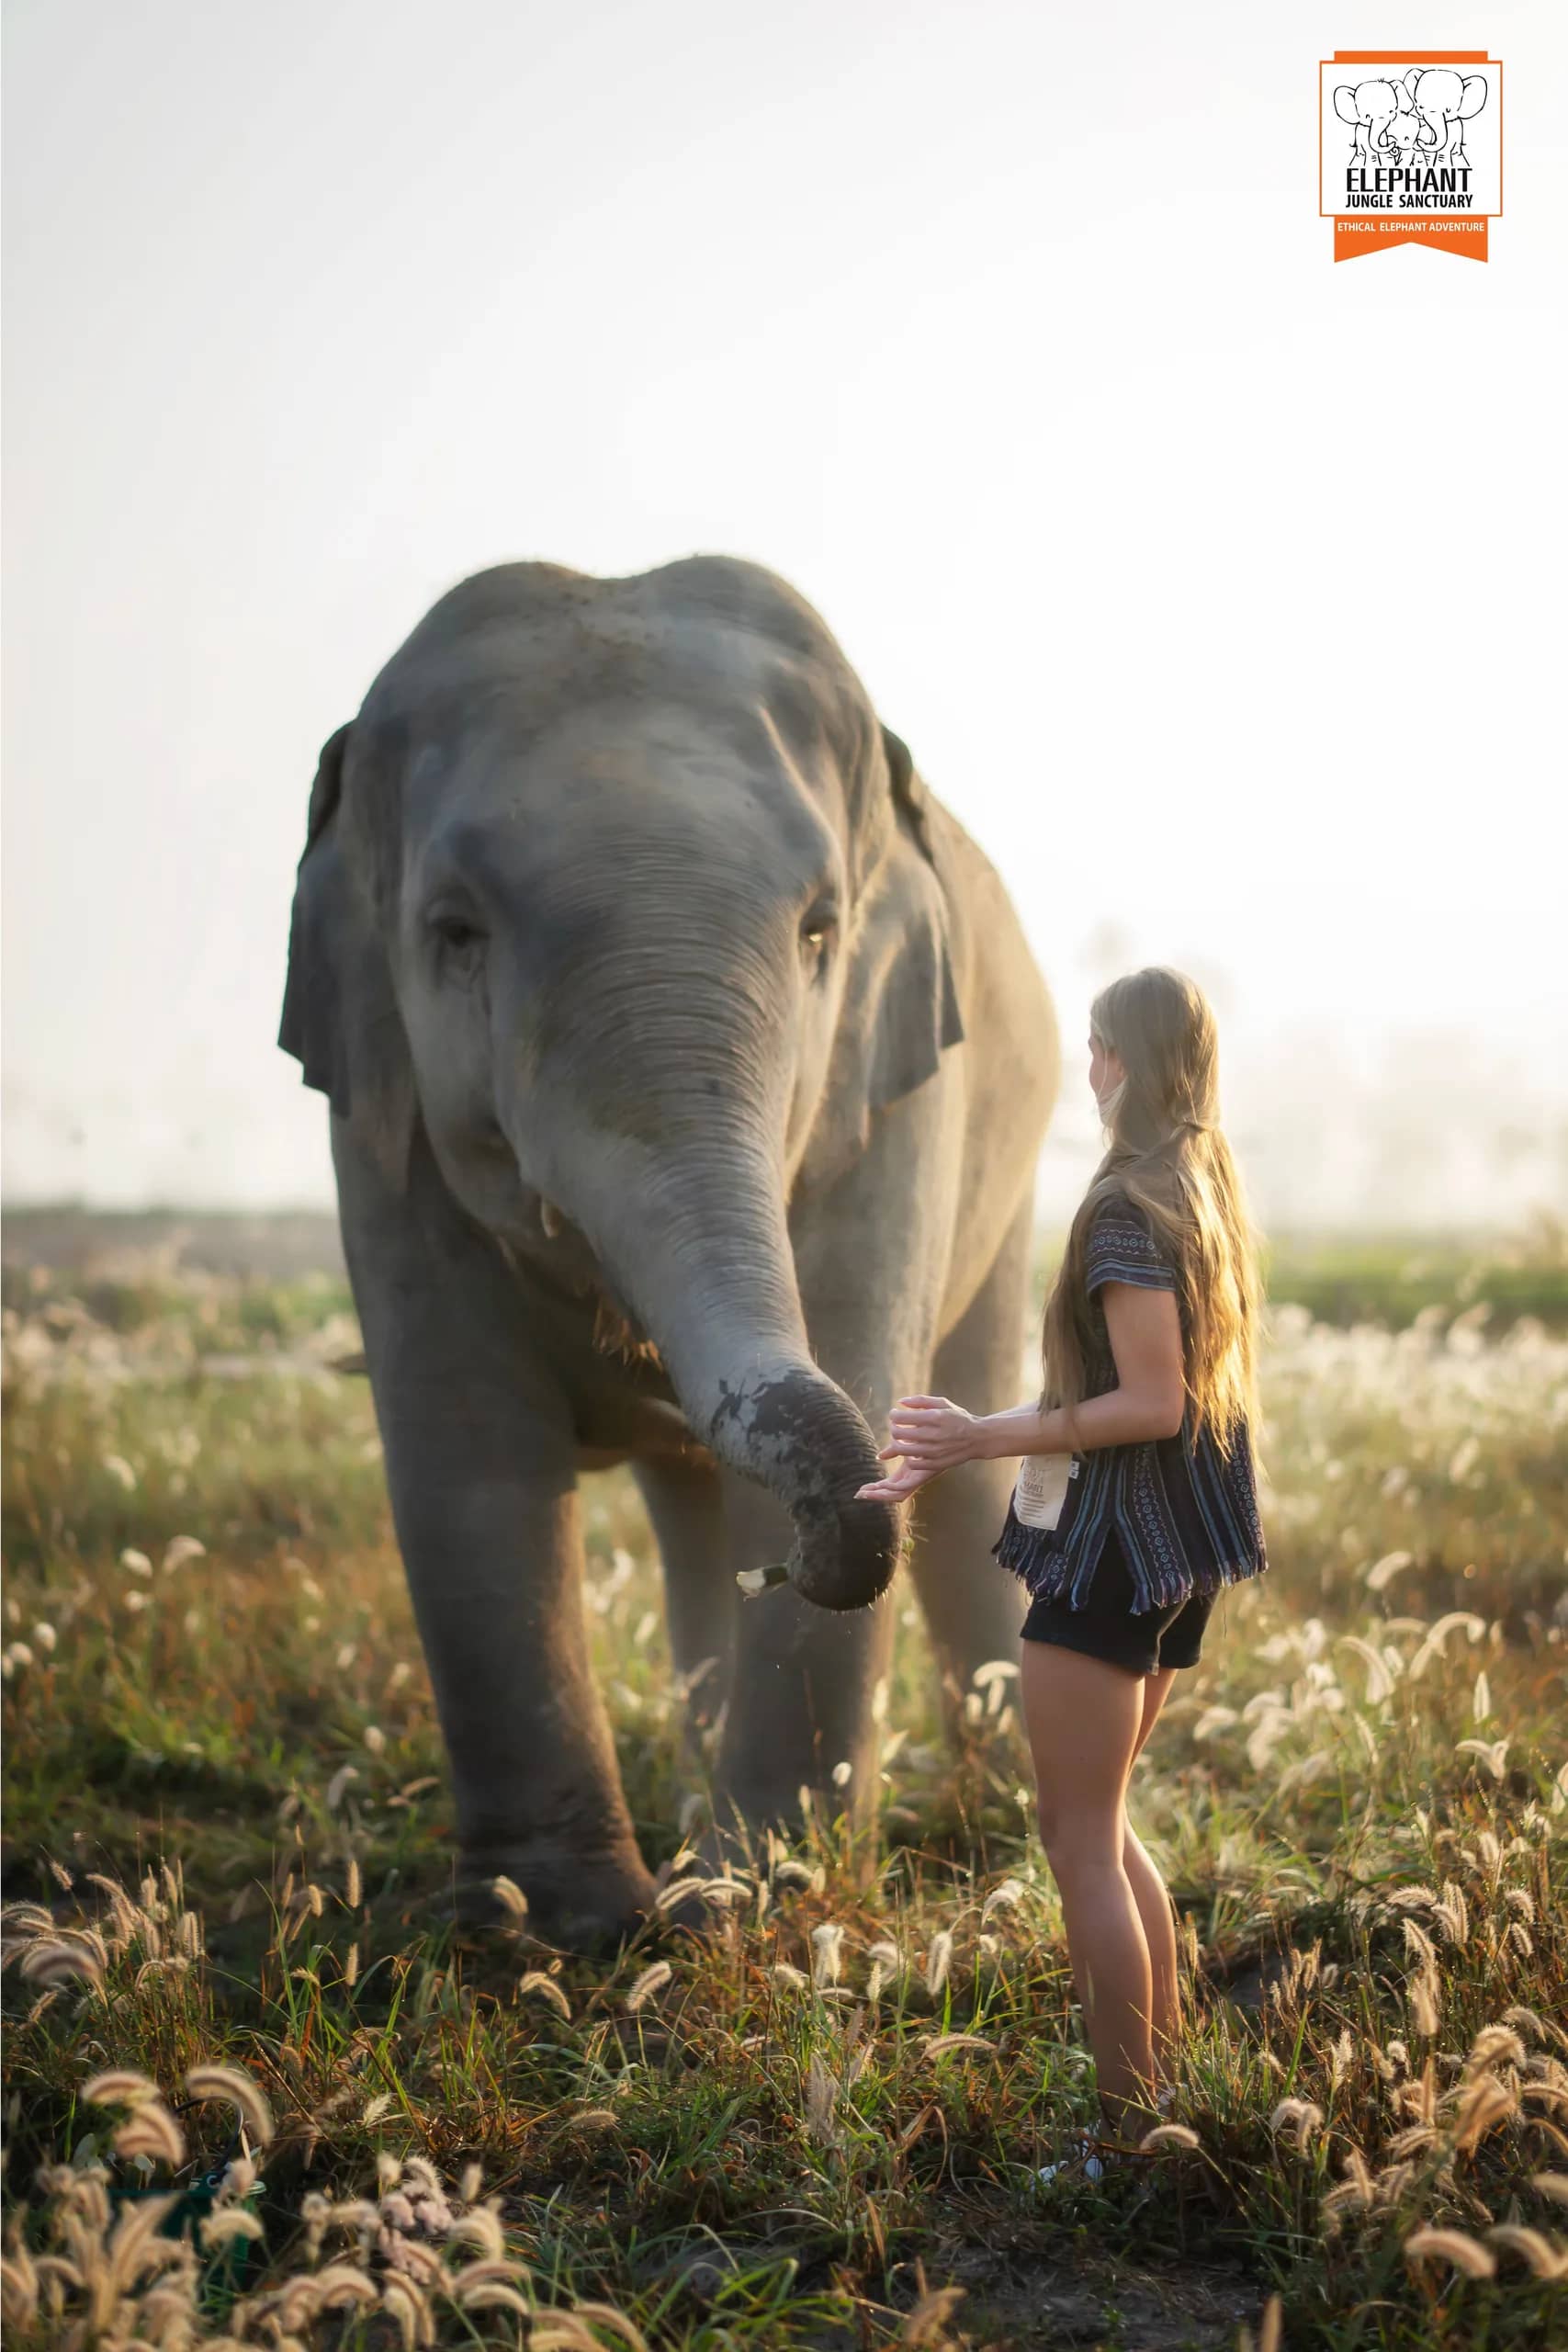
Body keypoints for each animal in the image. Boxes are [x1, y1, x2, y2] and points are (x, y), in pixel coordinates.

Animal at [279, 556, 1058, 1947]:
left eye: (819, 933)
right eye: (454, 933)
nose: (792, 1563)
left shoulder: (896, 1091)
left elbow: (857, 1370)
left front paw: (763, 1901)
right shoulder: (380, 1124)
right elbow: (465, 1459)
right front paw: (555, 1928)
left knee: (967, 1451)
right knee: (692, 1502)